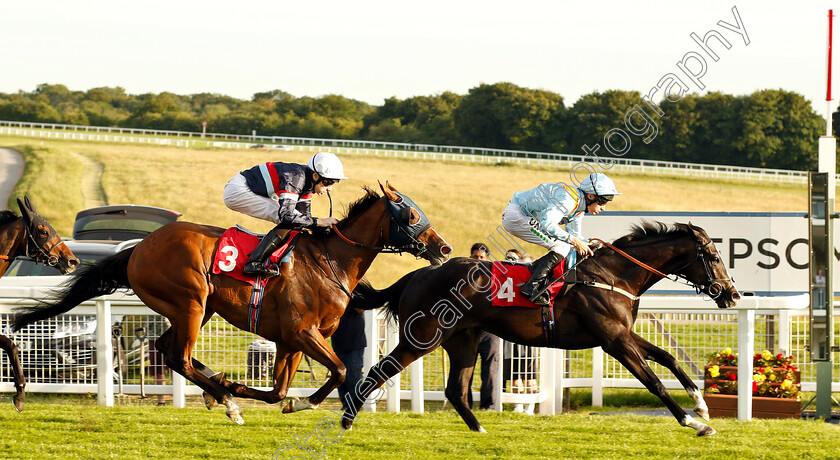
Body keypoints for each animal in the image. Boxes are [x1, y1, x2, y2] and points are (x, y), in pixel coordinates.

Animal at [9, 182, 450, 424]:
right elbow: (340, 369)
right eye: (412, 215)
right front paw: (299, 401)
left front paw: (266, 395)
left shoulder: (291, 340)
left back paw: (218, 388)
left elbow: (278, 391)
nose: (443, 248)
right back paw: (225, 399)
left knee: (169, 349)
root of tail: (138, 248)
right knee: (178, 356)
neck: (330, 261)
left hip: (197, 309)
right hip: (190, 301)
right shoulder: (302, 333)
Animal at [344, 221, 740, 436]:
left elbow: (668, 358)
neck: (613, 275)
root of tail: (416, 275)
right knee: (378, 371)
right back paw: (347, 422)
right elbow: (654, 381)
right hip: (424, 337)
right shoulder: (614, 341)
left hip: (463, 339)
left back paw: (479, 429)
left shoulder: (622, 334)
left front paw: (702, 404)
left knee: (455, 389)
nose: (732, 294)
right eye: (714, 256)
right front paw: (695, 423)